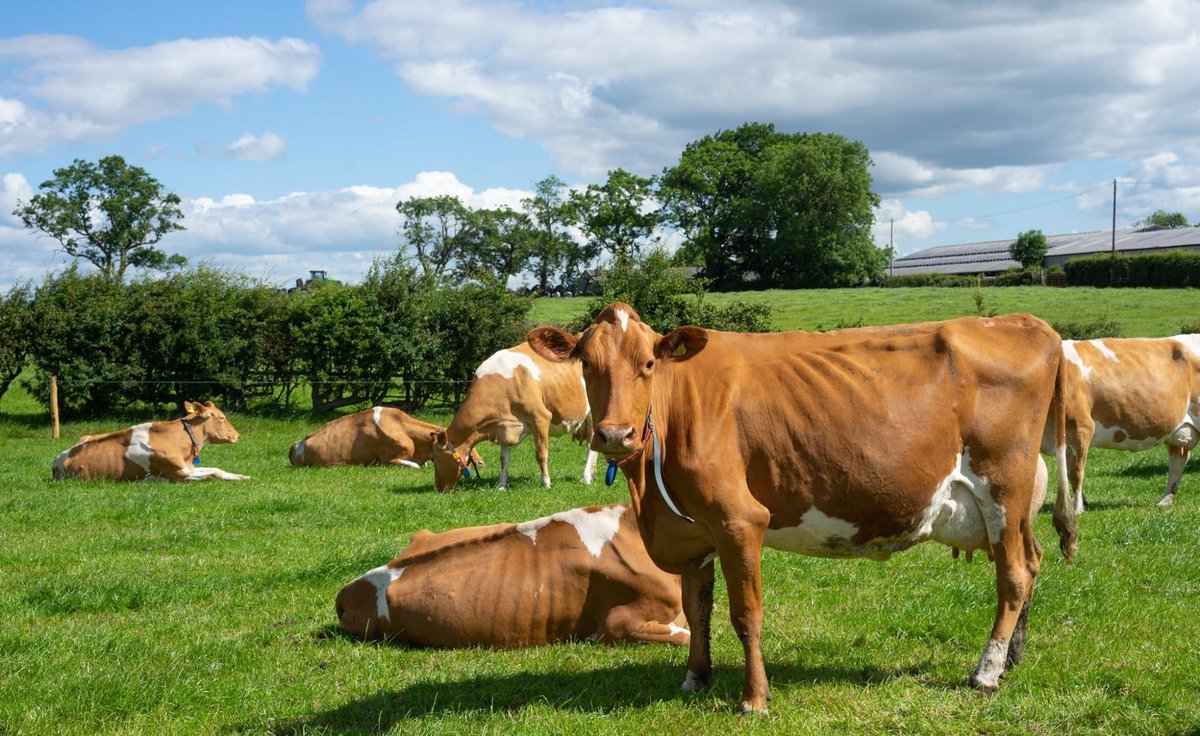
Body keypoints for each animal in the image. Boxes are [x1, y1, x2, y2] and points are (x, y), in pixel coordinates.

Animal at [52, 400, 249, 482]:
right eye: (222, 417)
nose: (238, 435)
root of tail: (56, 462)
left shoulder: (189, 467)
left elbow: (217, 469)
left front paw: (243, 476)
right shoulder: (179, 474)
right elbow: (213, 474)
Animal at [429, 340, 599, 492]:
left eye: (436, 460)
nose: (439, 489)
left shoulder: (541, 418)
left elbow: (541, 454)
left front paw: (546, 483)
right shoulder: (504, 427)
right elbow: (504, 460)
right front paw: (501, 486)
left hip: (592, 414)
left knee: (591, 446)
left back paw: (586, 477)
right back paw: (592, 475)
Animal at [528, 304, 1073, 713]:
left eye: (648, 365)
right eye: (586, 364)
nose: (614, 435)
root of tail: (1027, 322)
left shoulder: (739, 521)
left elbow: (745, 614)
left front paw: (754, 699)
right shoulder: (694, 530)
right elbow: (696, 608)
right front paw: (696, 677)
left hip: (1003, 485)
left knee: (1015, 574)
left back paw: (986, 671)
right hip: (1013, 508)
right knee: (1032, 560)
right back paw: (1013, 659)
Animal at [1044, 335, 1200, 511]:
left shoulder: (1081, 426)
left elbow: (1076, 472)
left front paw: (1077, 509)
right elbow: (1066, 473)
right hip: (1177, 432)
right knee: (1177, 463)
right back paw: (1165, 500)